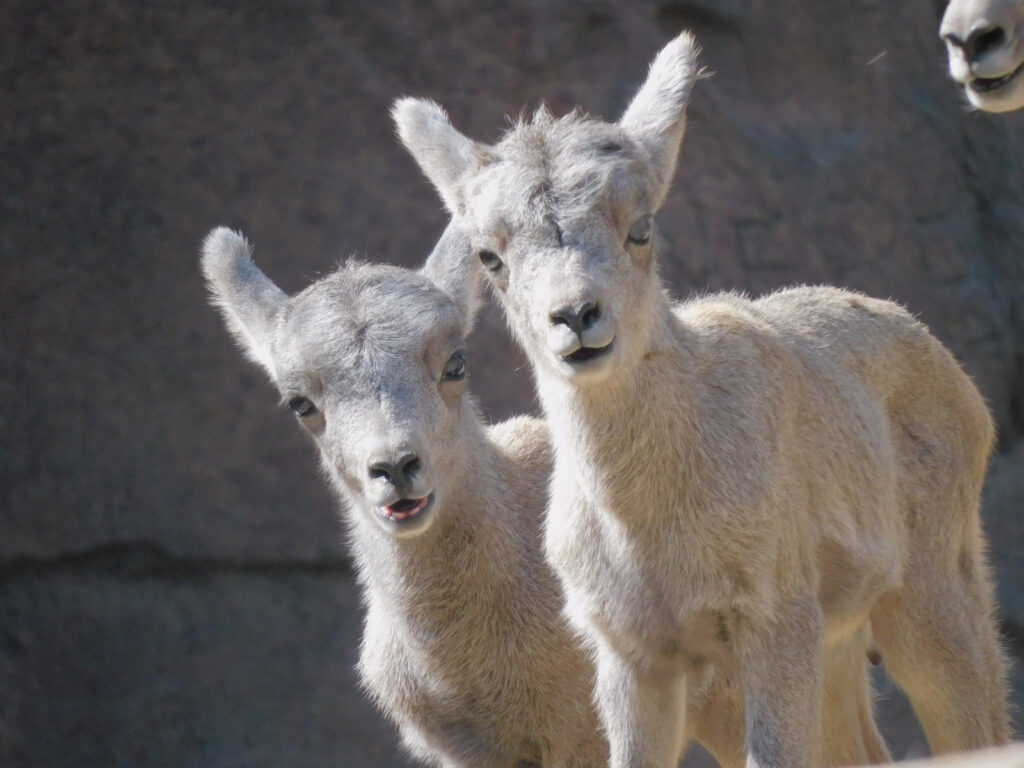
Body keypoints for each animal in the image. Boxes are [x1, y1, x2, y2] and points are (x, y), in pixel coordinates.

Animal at [391, 30, 1007, 768]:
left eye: (641, 227)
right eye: (490, 257)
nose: (577, 317)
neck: (653, 529)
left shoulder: (773, 622)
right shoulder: (633, 655)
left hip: (931, 600)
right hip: (840, 643)